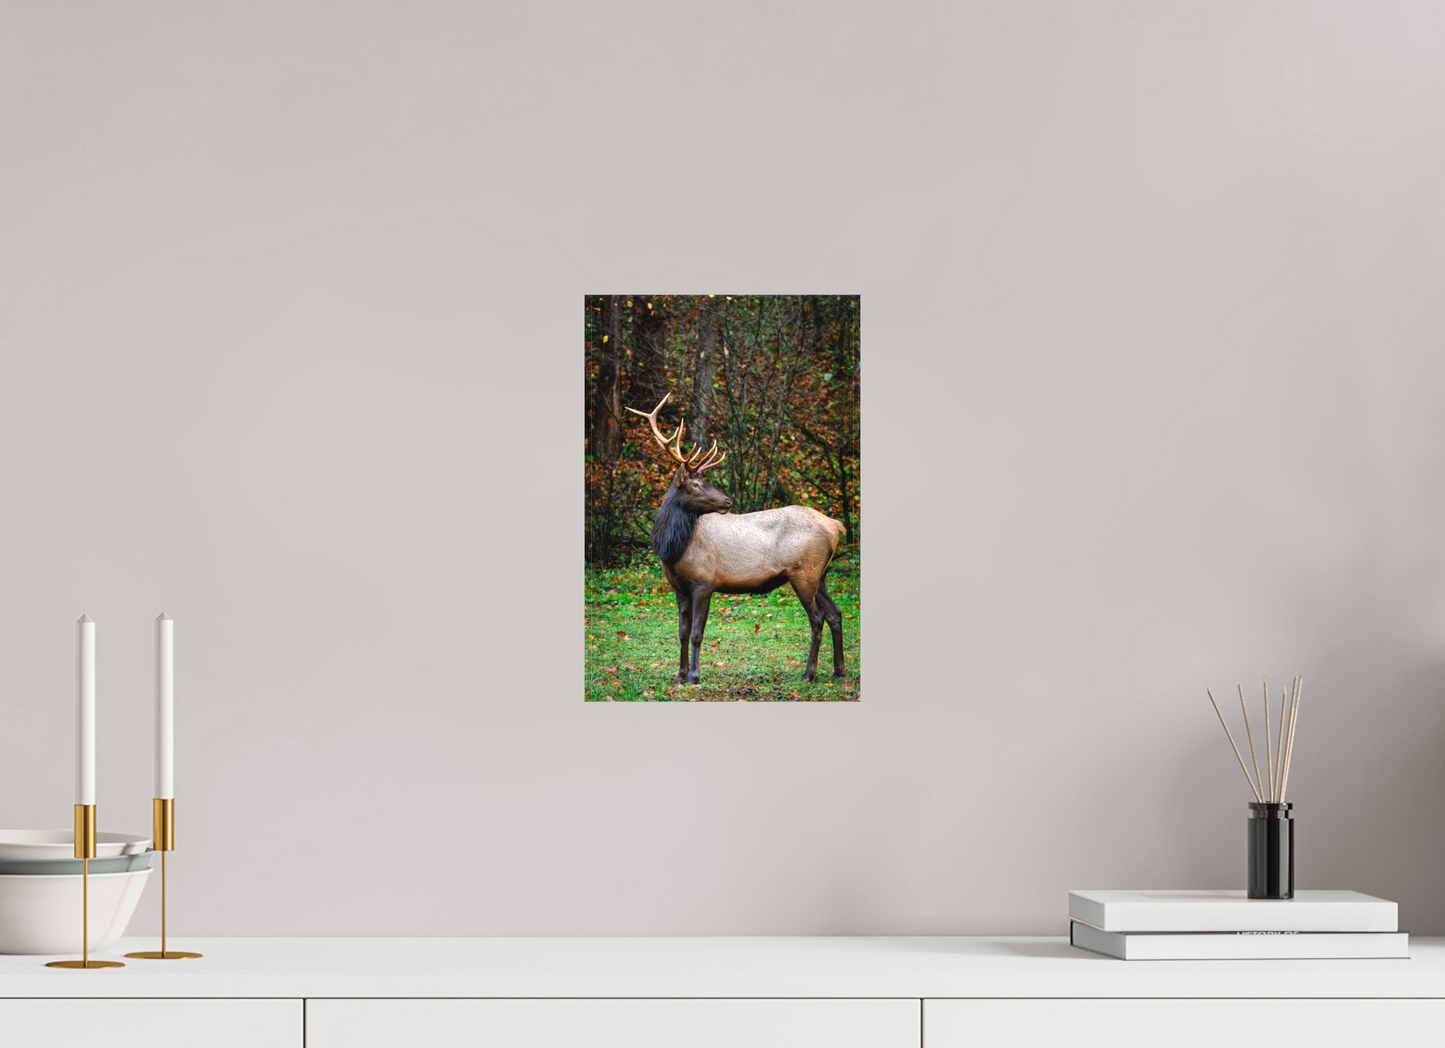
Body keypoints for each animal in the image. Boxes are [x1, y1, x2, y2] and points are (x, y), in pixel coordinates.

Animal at [626, 393, 847, 685]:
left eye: (702, 481)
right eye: (696, 484)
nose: (728, 501)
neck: (672, 549)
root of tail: (836, 526)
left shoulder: (704, 581)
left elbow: (696, 633)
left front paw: (694, 676)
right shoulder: (679, 588)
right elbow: (682, 632)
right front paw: (680, 675)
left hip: (804, 572)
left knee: (818, 617)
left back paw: (809, 673)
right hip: (821, 574)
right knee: (835, 613)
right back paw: (838, 670)